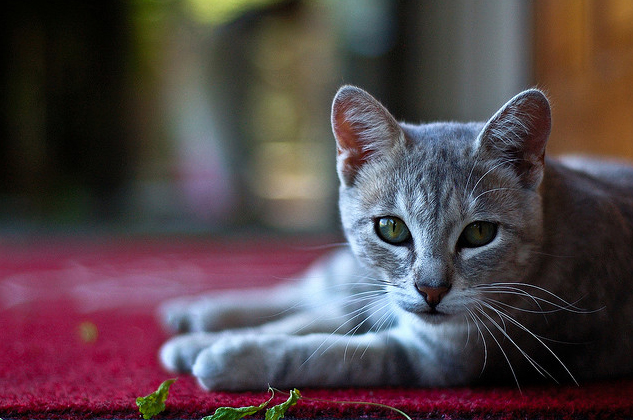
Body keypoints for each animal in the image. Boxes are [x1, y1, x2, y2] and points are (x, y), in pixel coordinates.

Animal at [158, 85, 632, 390]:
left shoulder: (429, 359)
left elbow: (321, 352)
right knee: (308, 294)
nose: (432, 290)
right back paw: (196, 311)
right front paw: (205, 343)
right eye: (391, 228)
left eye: (480, 233)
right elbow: (302, 323)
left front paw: (228, 356)